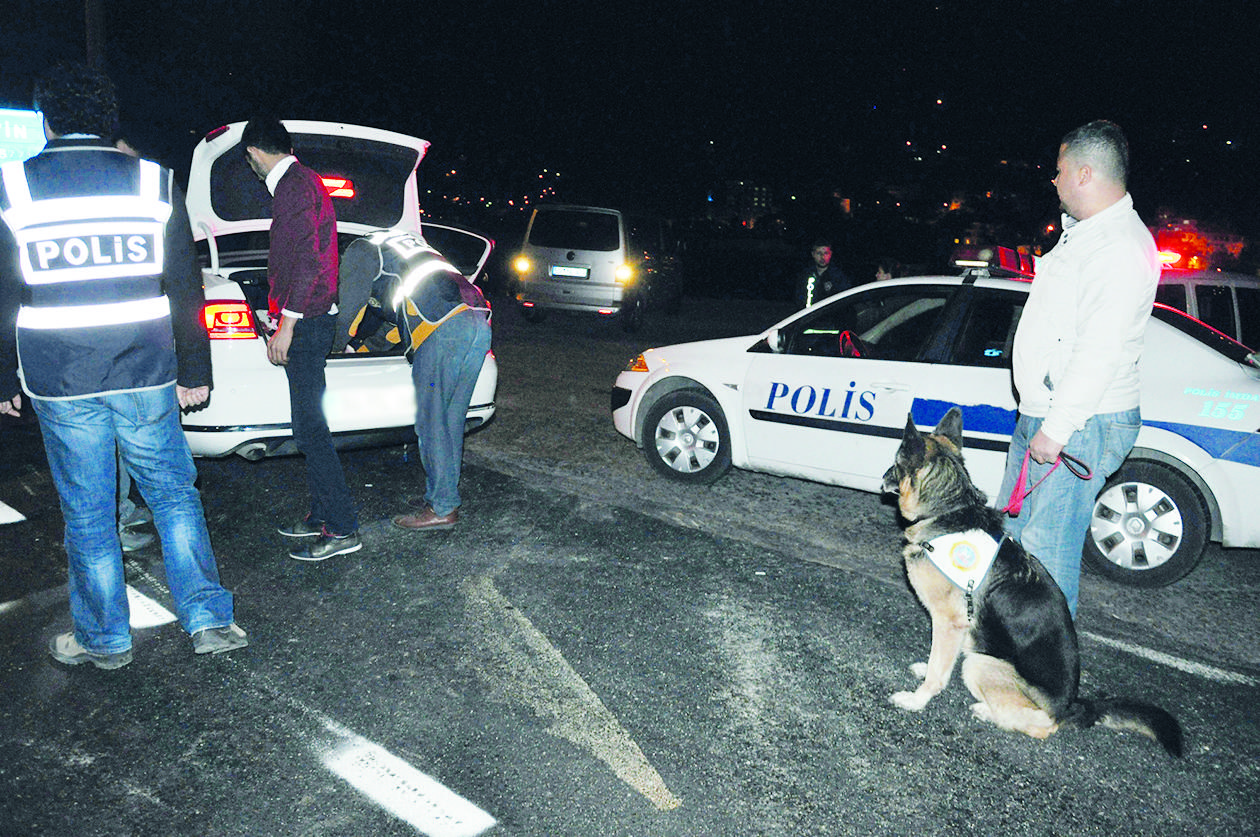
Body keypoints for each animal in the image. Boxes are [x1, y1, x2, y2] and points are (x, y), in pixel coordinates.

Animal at [882, 408, 1184, 756]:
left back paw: (990, 712)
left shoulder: (950, 622)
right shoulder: (957, 627)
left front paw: (917, 699)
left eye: (895, 462)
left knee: (1042, 725)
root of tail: (1072, 707)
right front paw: (925, 668)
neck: (950, 510)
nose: (881, 477)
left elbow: (937, 671)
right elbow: (939, 659)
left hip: (981, 665)